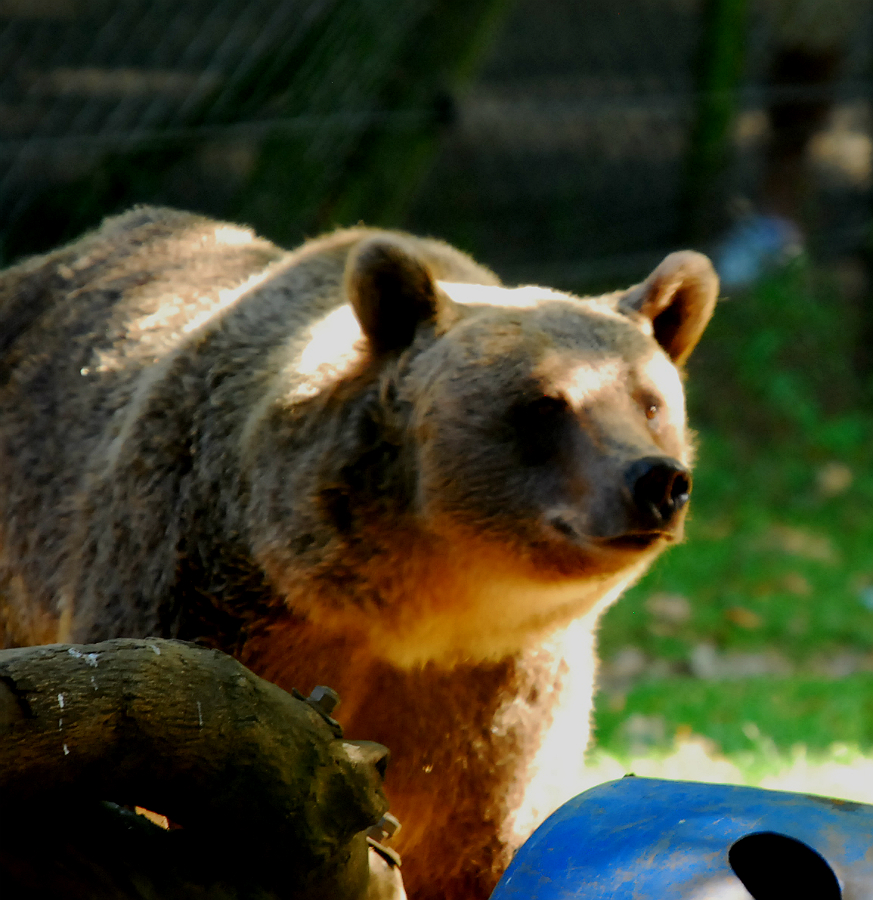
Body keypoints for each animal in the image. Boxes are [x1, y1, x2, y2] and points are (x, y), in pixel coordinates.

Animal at [0, 207, 717, 900]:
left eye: (650, 403)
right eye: (545, 405)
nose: (655, 482)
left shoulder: (501, 696)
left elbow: (492, 842)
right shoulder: (192, 586)